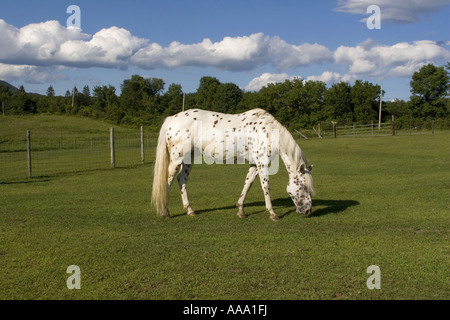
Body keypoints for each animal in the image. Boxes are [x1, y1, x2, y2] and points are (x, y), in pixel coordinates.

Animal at [151, 107, 312, 220]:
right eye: (304, 186)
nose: (308, 211)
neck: (268, 131)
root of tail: (172, 119)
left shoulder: (254, 165)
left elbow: (247, 184)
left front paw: (241, 211)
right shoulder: (262, 163)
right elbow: (265, 186)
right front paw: (272, 214)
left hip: (188, 158)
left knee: (182, 179)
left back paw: (190, 210)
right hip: (176, 159)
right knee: (168, 181)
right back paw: (165, 213)